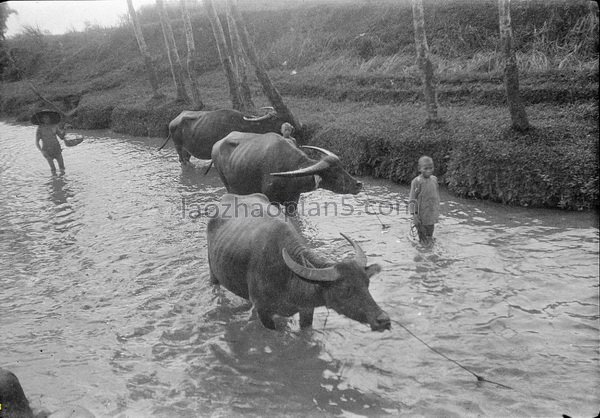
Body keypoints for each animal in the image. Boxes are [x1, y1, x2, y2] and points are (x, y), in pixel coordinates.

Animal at [158, 108, 296, 165]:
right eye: (276, 118)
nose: (292, 126)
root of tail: (172, 122)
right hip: (178, 147)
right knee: (182, 160)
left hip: (188, 150)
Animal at [207, 193, 394, 334]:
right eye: (346, 289)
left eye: (367, 284)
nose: (383, 320)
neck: (288, 278)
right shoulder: (263, 311)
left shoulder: (306, 310)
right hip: (213, 272)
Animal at [211, 131, 360, 211]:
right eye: (334, 174)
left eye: (343, 167)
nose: (358, 184)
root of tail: (216, 145)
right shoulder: (272, 200)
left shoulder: (293, 202)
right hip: (228, 185)